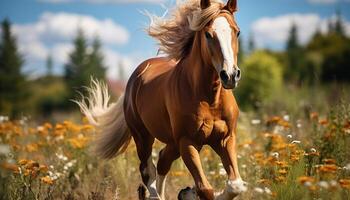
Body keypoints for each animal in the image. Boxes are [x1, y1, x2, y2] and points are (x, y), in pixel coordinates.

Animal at [76, 0, 246, 199]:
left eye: (237, 31)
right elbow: (205, 189)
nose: (230, 75)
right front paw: (191, 191)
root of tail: (135, 77)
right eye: (208, 34)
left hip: (173, 142)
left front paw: (189, 191)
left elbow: (235, 185)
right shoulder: (187, 142)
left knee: (163, 161)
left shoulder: (225, 139)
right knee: (148, 171)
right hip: (142, 137)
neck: (209, 99)